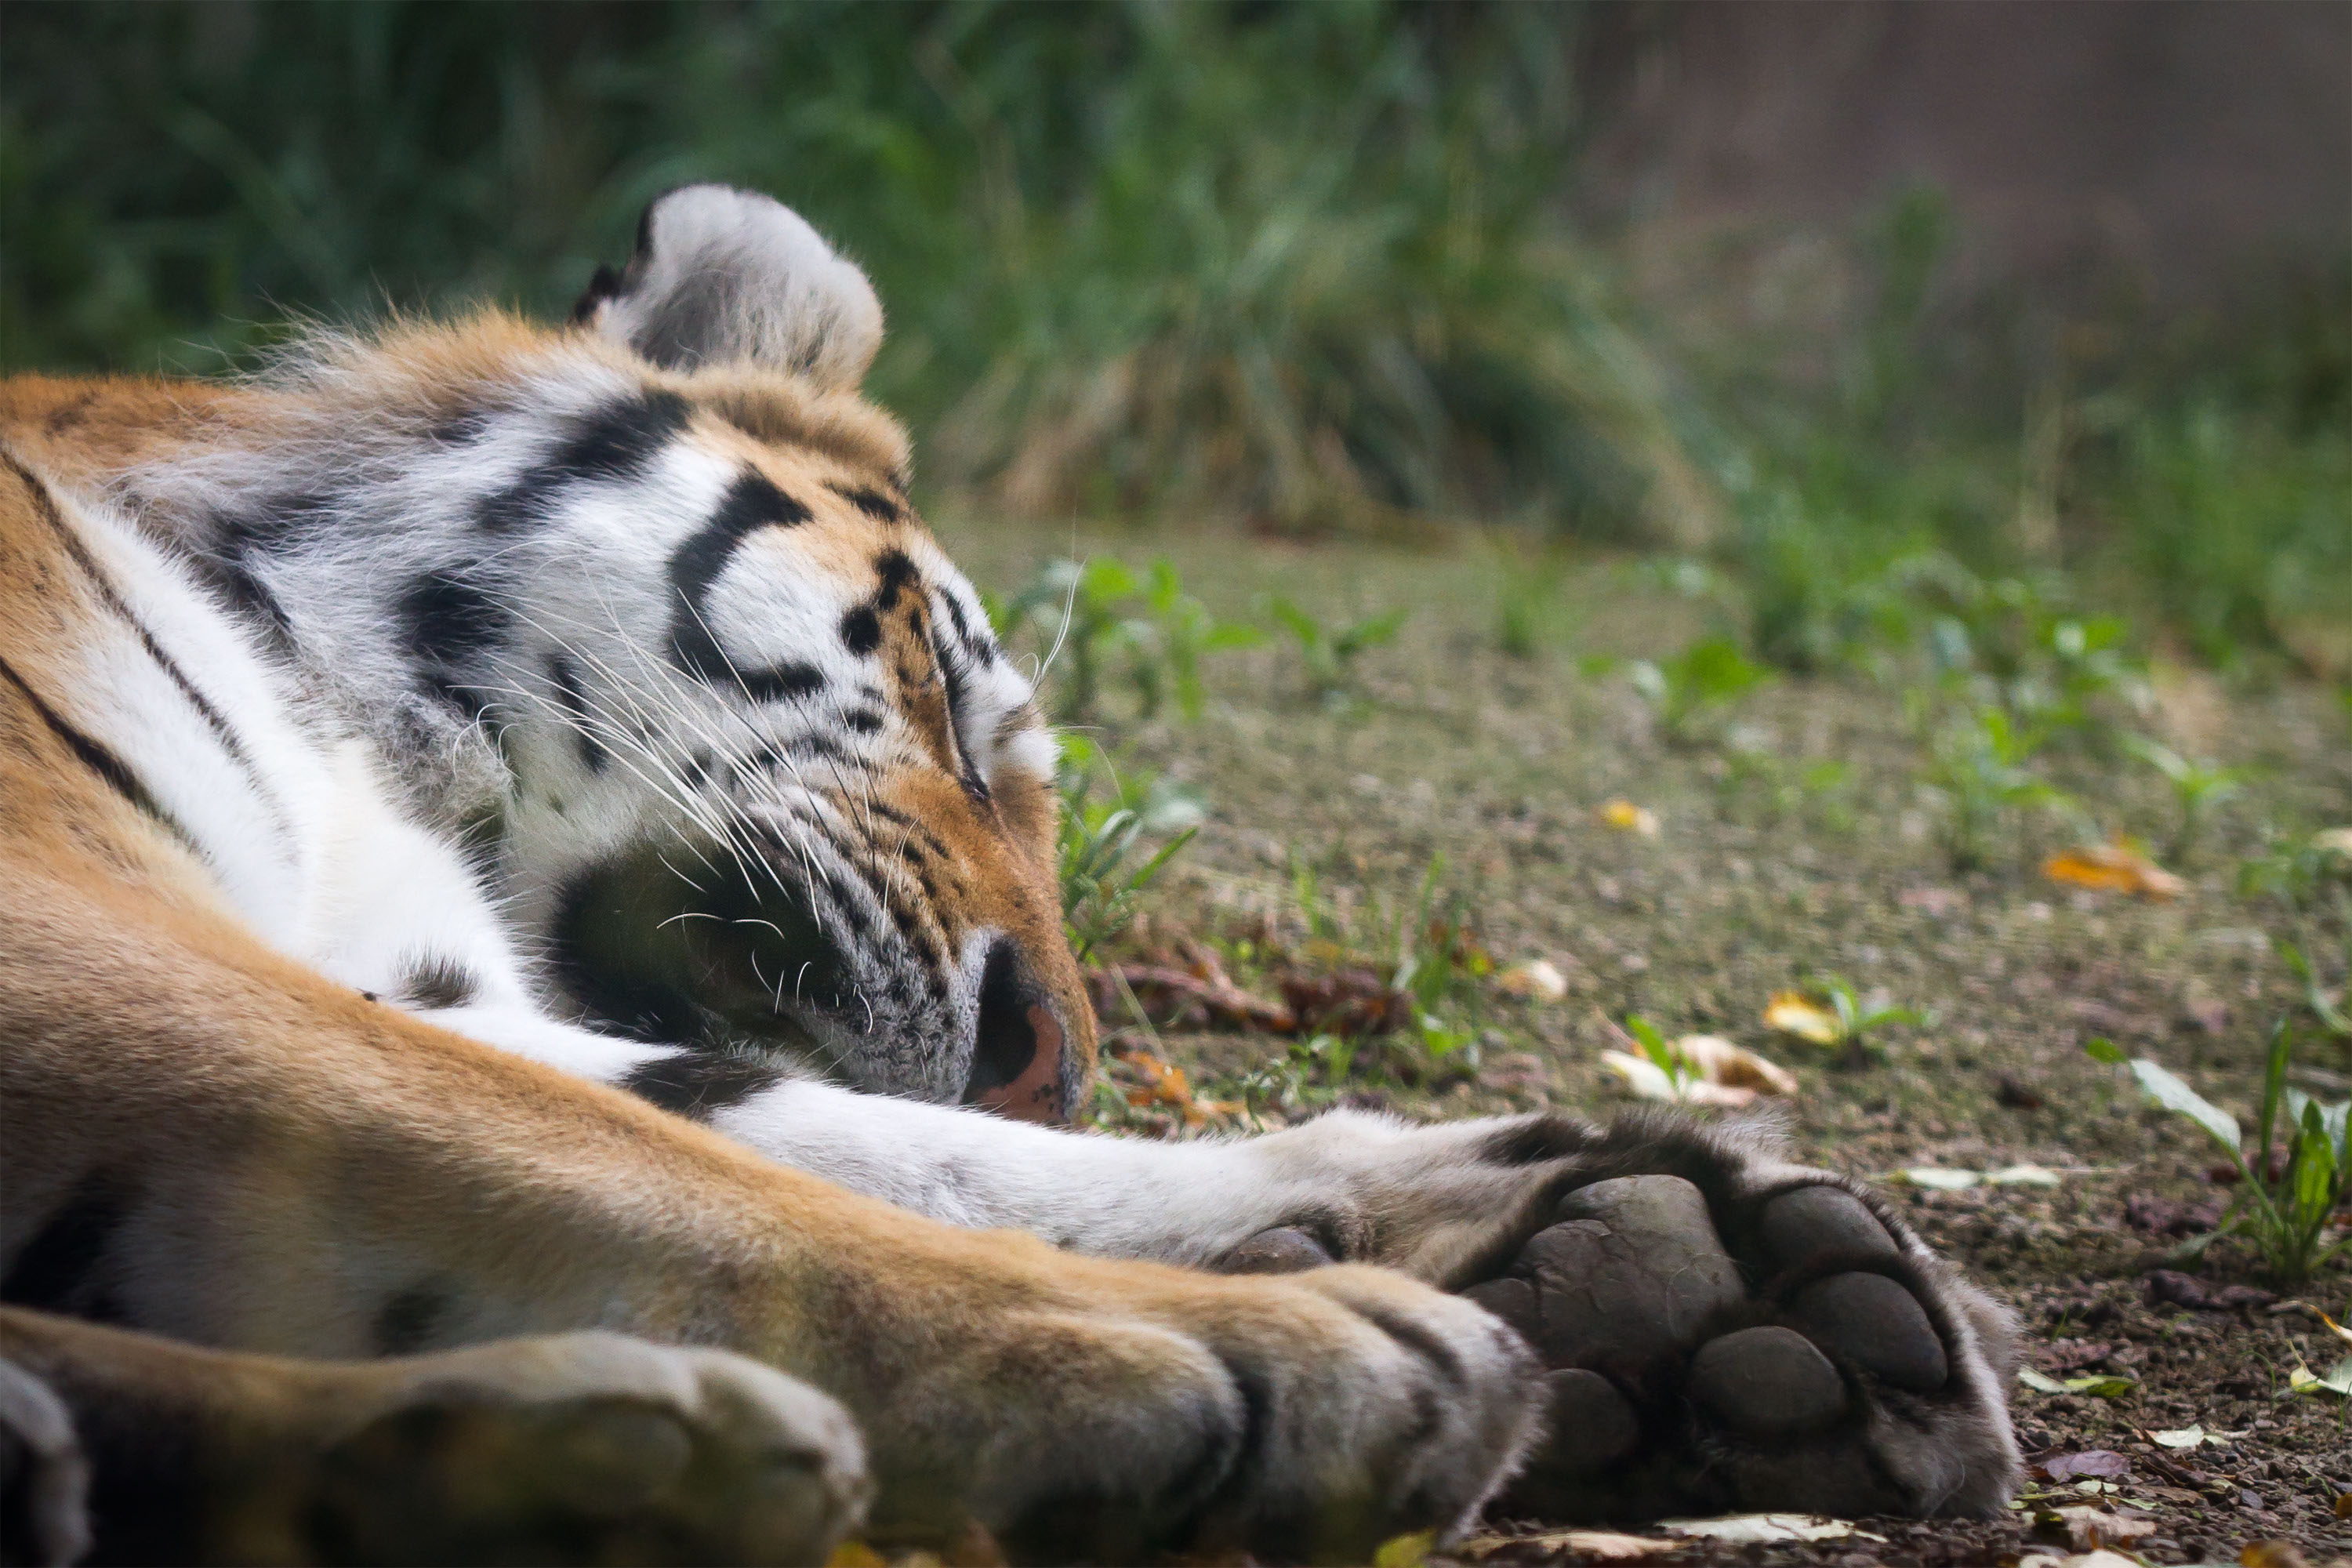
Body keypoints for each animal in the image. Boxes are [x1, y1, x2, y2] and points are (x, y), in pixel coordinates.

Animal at [0, 187, 2023, 1568]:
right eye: (962, 720)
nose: (1043, 1050)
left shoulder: (413, 966)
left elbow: (815, 1135)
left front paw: (1687, 1259)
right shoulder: (82, 918)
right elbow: (635, 1164)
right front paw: (1250, 1347)